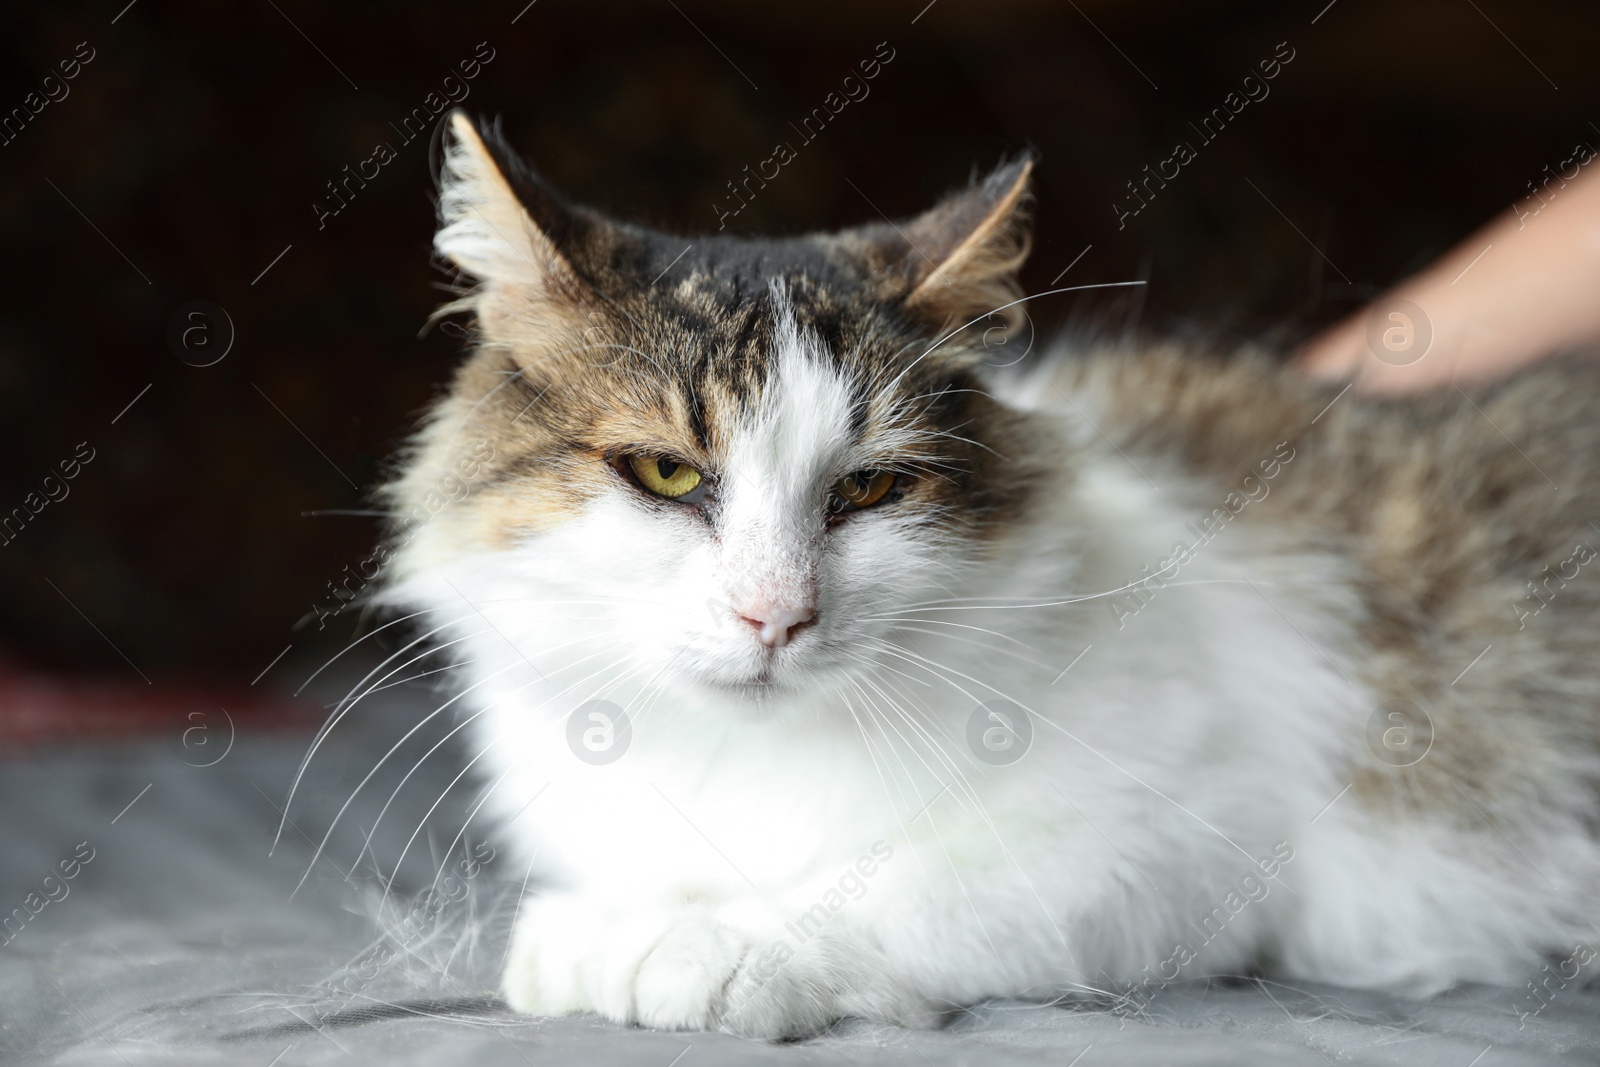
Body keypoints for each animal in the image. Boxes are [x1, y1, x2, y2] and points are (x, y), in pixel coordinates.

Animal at [377, 112, 1600, 1036]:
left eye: (869, 490)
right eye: (668, 472)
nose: (775, 617)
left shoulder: (1173, 844)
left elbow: (880, 887)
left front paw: (676, 940)